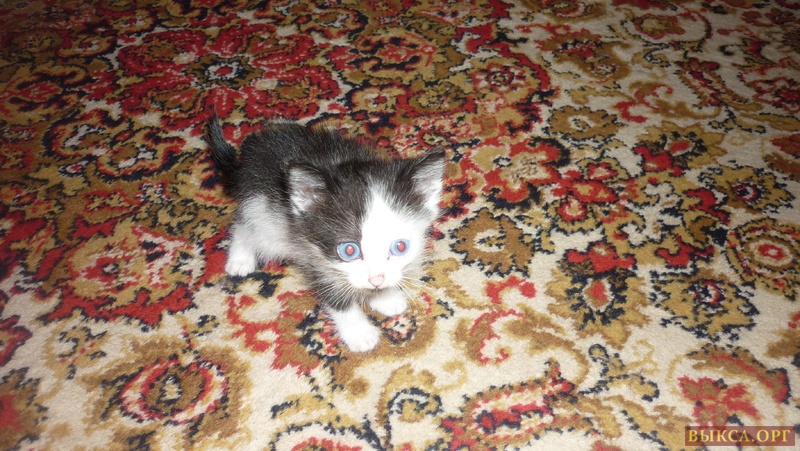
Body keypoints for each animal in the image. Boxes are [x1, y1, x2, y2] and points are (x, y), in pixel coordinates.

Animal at [206, 114, 445, 352]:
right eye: (349, 250)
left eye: (400, 247)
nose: (376, 280)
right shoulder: (311, 252)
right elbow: (332, 292)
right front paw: (359, 333)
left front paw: (385, 297)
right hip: (267, 213)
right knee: (245, 224)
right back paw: (240, 259)